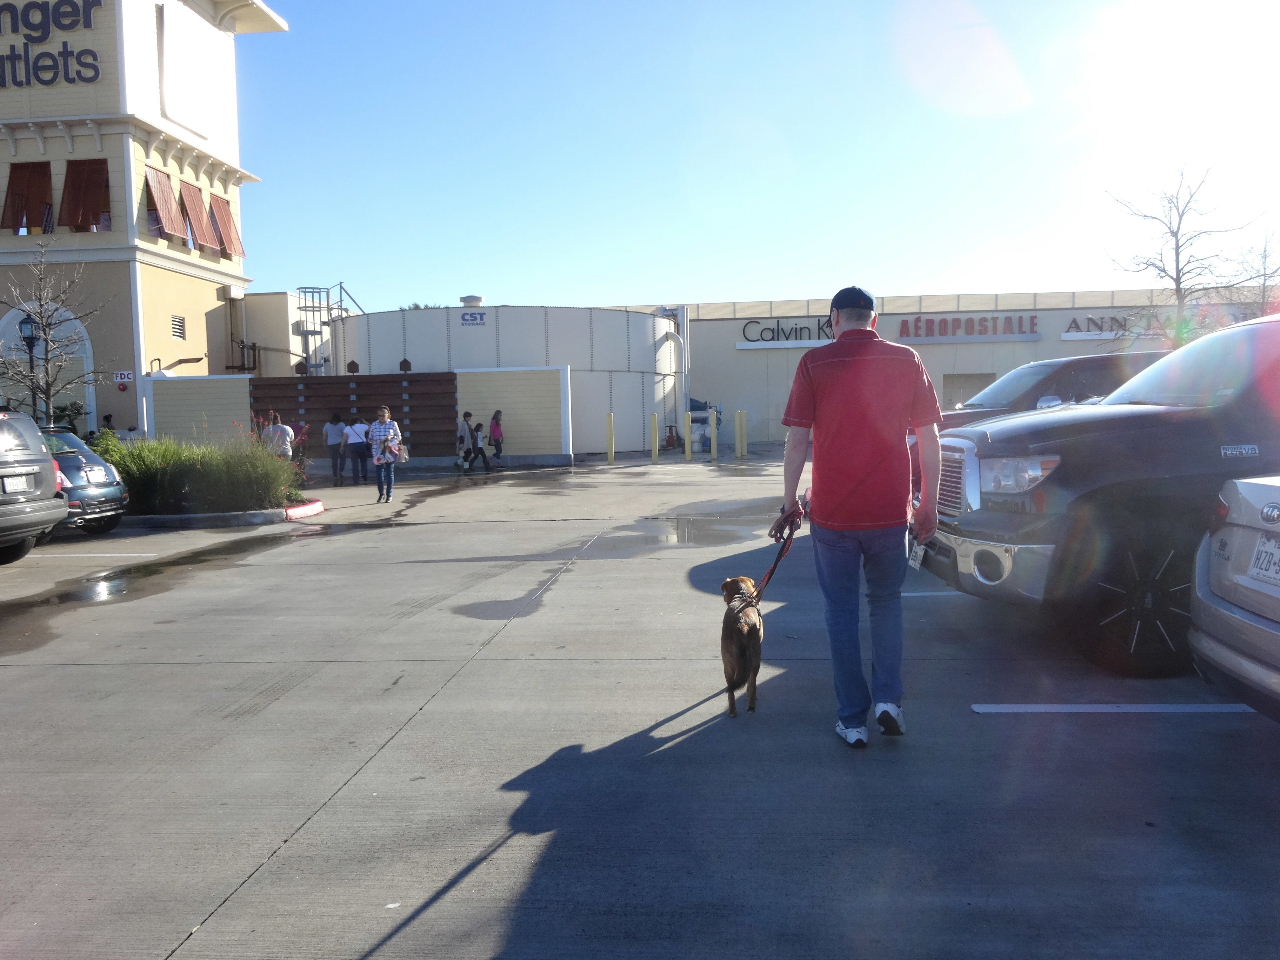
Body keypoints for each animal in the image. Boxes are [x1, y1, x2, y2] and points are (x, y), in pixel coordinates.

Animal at [720, 576, 764, 717]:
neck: (742, 595)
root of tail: (743, 623)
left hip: (728, 663)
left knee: (732, 689)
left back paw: (734, 710)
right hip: (754, 658)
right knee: (751, 681)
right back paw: (750, 705)